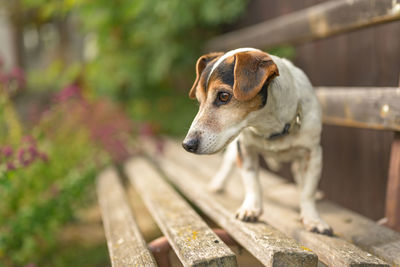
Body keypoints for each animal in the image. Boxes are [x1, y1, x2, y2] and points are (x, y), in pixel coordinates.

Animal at [181, 48, 332, 237]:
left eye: (224, 96)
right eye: (199, 100)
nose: (187, 144)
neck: (270, 127)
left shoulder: (313, 153)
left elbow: (308, 191)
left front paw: (313, 219)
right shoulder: (244, 149)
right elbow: (251, 182)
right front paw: (251, 209)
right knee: (228, 163)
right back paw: (218, 183)